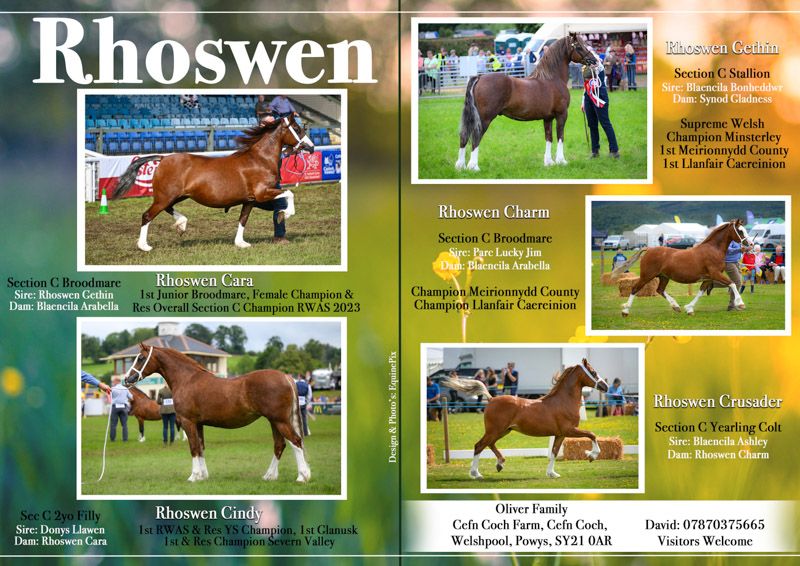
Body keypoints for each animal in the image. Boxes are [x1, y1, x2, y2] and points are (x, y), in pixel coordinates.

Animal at [112, 116, 314, 251]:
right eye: (297, 128)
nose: (311, 147)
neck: (260, 159)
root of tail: (163, 158)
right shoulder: (262, 193)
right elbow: (289, 194)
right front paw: (285, 214)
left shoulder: (250, 200)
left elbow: (243, 219)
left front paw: (241, 243)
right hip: (165, 196)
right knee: (147, 215)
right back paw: (144, 246)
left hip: (175, 196)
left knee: (167, 209)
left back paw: (181, 224)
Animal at [123, 344, 310, 483]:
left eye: (140, 358)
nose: (127, 379)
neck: (187, 379)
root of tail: (286, 377)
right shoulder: (198, 424)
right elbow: (200, 447)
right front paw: (203, 476)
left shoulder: (188, 422)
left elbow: (193, 447)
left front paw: (193, 476)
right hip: (274, 421)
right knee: (280, 445)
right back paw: (269, 476)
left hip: (280, 421)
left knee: (295, 442)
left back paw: (302, 476)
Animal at [443, 359, 608, 479]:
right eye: (593, 372)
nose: (605, 386)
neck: (563, 401)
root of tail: (491, 399)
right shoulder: (569, 430)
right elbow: (592, 434)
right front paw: (592, 456)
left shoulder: (560, 434)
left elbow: (554, 452)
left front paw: (552, 474)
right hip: (495, 430)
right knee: (479, 445)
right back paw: (476, 473)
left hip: (503, 431)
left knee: (489, 444)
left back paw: (500, 464)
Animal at [455, 33, 597, 172]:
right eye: (579, 46)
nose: (594, 60)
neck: (552, 79)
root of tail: (479, 77)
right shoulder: (561, 114)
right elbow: (560, 136)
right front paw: (561, 161)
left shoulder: (548, 118)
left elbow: (549, 137)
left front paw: (549, 162)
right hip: (484, 119)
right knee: (476, 137)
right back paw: (473, 166)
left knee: (464, 137)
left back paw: (460, 166)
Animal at [613, 219, 752, 317]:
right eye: (740, 231)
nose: (750, 244)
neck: (713, 250)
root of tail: (649, 249)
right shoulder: (715, 274)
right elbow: (732, 283)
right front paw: (741, 304)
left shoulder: (708, 278)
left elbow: (701, 292)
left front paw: (689, 308)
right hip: (647, 275)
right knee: (635, 288)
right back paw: (625, 311)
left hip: (664, 277)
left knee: (660, 290)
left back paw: (676, 306)